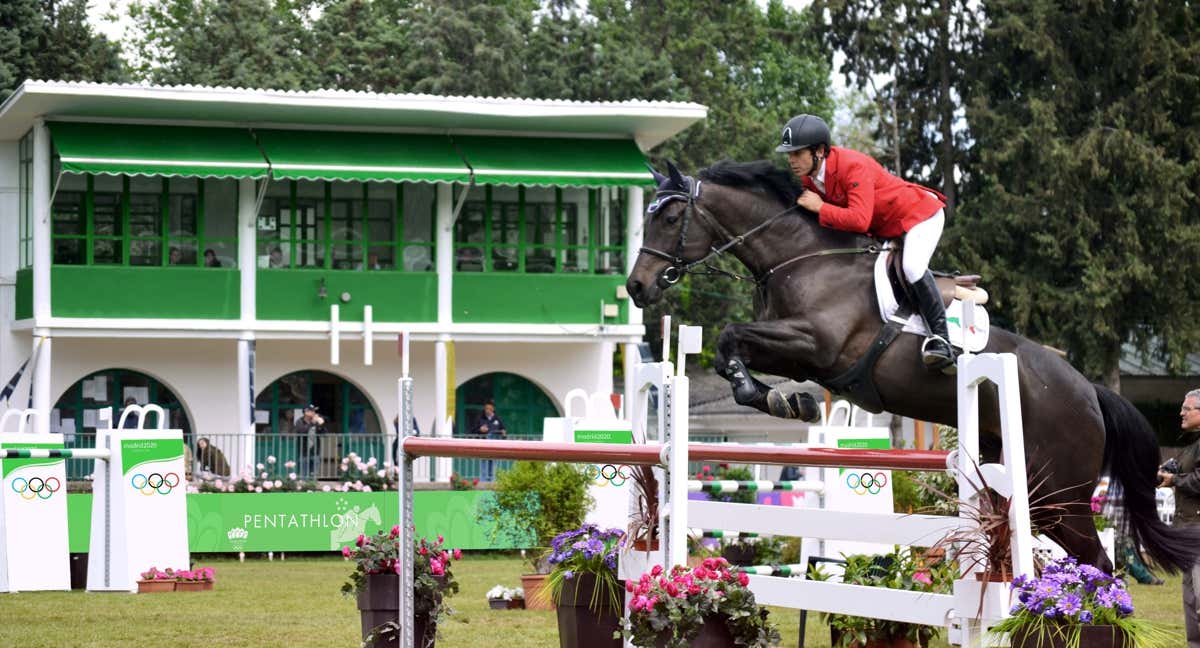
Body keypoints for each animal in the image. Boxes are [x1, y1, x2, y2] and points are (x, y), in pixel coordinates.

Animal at [628, 160, 1200, 571]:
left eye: (671, 218)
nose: (637, 287)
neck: (800, 259)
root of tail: (1089, 392)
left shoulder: (817, 344)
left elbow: (731, 336)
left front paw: (778, 398)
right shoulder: (794, 350)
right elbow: (734, 346)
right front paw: (786, 399)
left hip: (1059, 496)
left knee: (1100, 562)